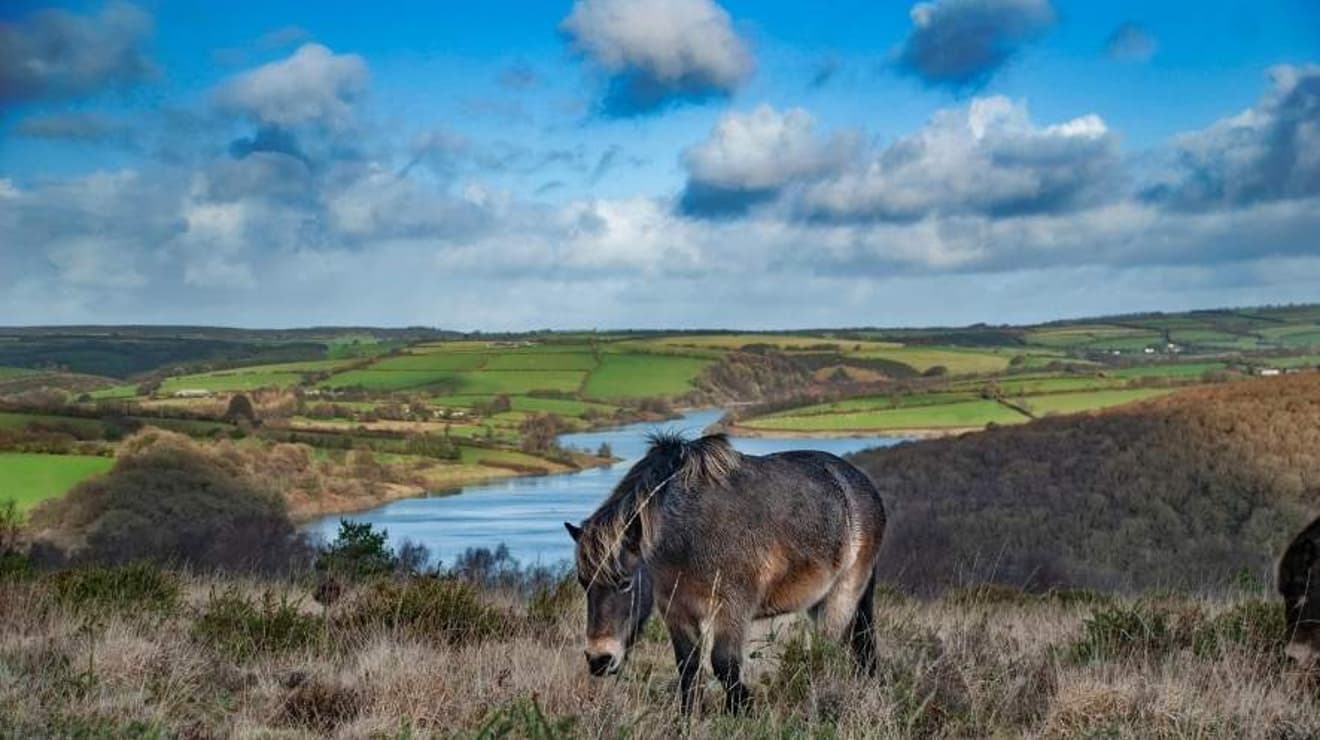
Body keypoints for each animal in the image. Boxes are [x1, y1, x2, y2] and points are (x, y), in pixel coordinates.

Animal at [565, 431, 887, 714]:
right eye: (583, 583)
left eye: (624, 582)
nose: (599, 660)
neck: (688, 534)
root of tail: (863, 484)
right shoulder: (677, 612)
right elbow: (688, 666)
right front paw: (688, 717)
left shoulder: (731, 609)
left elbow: (724, 664)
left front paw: (741, 712)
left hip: (842, 597)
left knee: (828, 650)